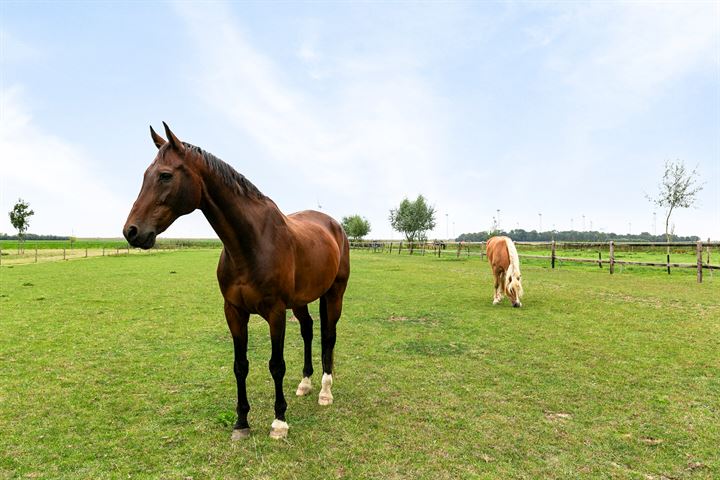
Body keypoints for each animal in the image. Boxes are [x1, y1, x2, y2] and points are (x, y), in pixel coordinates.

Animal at [124, 123, 352, 438]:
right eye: (145, 175)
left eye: (165, 175)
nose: (131, 231)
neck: (251, 243)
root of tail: (334, 225)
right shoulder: (234, 311)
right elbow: (240, 365)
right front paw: (241, 422)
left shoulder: (275, 312)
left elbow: (276, 365)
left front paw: (279, 422)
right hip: (300, 301)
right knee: (308, 330)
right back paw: (305, 383)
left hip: (334, 293)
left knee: (329, 335)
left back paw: (325, 391)